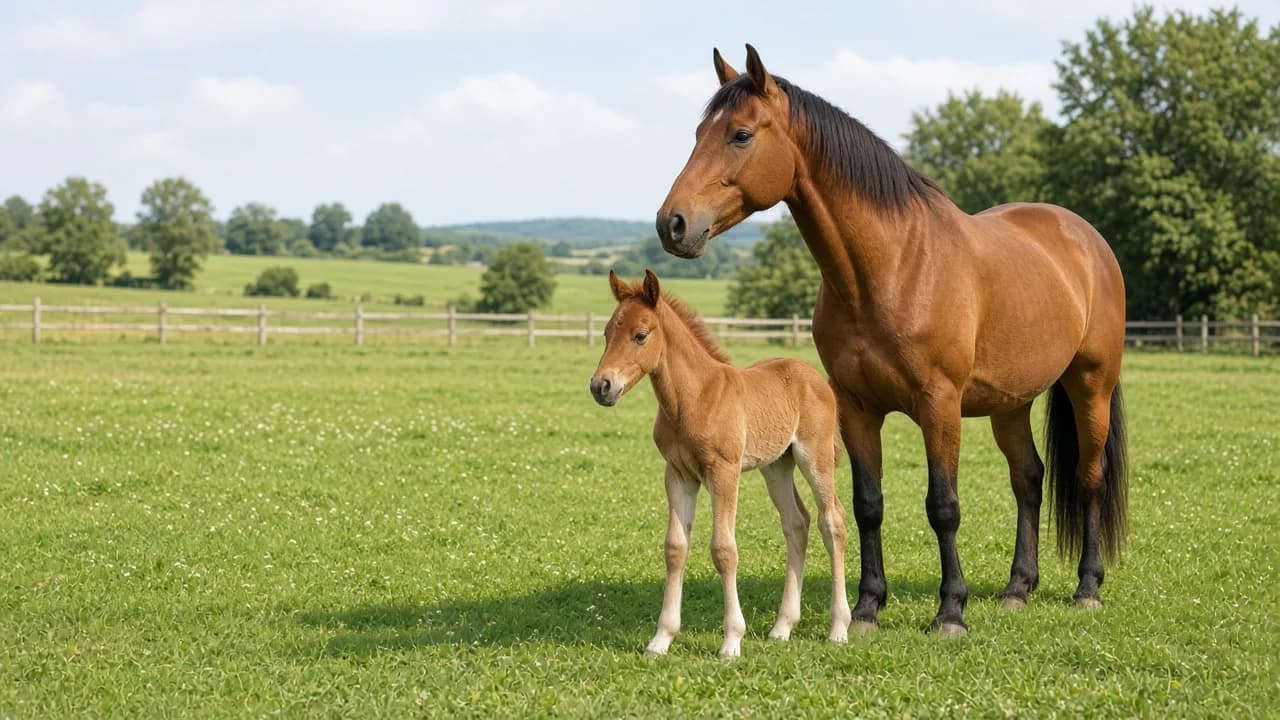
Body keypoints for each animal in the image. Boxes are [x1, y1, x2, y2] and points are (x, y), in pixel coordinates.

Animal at [590, 269, 851, 657]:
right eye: (607, 332)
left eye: (640, 335)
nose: (601, 386)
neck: (693, 398)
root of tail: (813, 376)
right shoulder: (678, 475)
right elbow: (675, 547)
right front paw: (661, 639)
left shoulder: (724, 472)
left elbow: (724, 549)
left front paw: (731, 641)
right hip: (777, 465)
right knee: (797, 523)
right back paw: (782, 627)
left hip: (814, 457)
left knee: (831, 521)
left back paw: (838, 628)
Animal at [654, 45, 1128, 637]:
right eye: (699, 132)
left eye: (740, 134)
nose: (671, 224)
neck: (892, 266)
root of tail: (1086, 238)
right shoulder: (856, 408)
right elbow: (867, 504)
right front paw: (865, 608)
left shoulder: (939, 405)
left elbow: (943, 505)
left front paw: (951, 611)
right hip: (1010, 403)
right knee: (1028, 479)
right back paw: (1018, 588)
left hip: (1091, 385)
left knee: (1088, 477)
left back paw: (1087, 586)